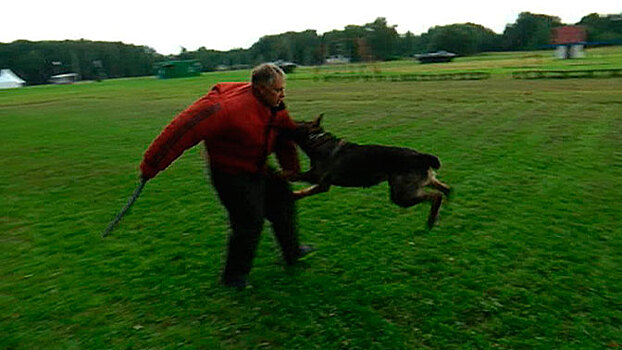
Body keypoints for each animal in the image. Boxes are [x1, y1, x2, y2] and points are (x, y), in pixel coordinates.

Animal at [288, 115, 454, 228]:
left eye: (296, 123)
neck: (316, 139)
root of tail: (421, 156)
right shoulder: (323, 185)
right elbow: (305, 191)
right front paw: (294, 195)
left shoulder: (317, 176)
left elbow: (294, 175)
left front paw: (285, 176)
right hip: (423, 183)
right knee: (447, 189)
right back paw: (444, 210)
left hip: (401, 196)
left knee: (436, 196)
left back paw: (431, 220)